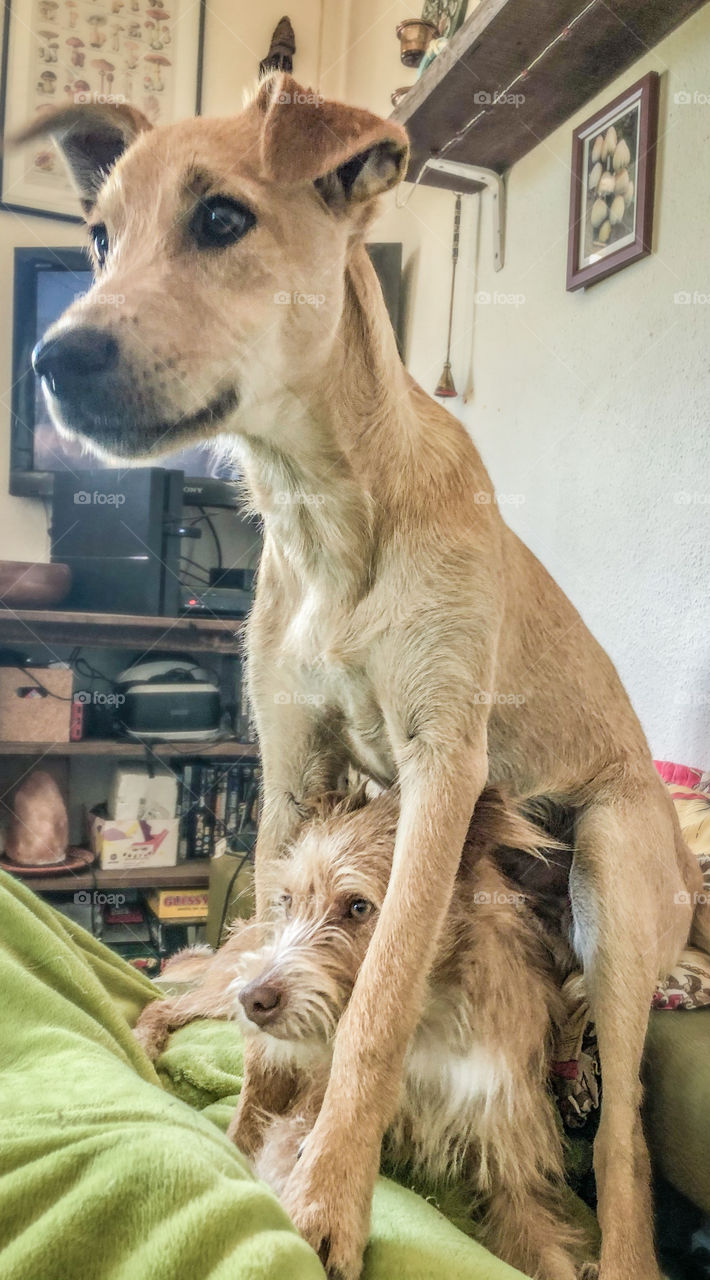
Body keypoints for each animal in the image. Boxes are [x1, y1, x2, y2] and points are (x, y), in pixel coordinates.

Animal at [137, 783, 588, 1280]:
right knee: (162, 1004)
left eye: (357, 906)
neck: (426, 1023)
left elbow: (545, 1249)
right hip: (224, 989)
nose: (254, 1000)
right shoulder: (308, 1116)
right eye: (288, 900)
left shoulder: (513, 1166)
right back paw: (142, 1043)